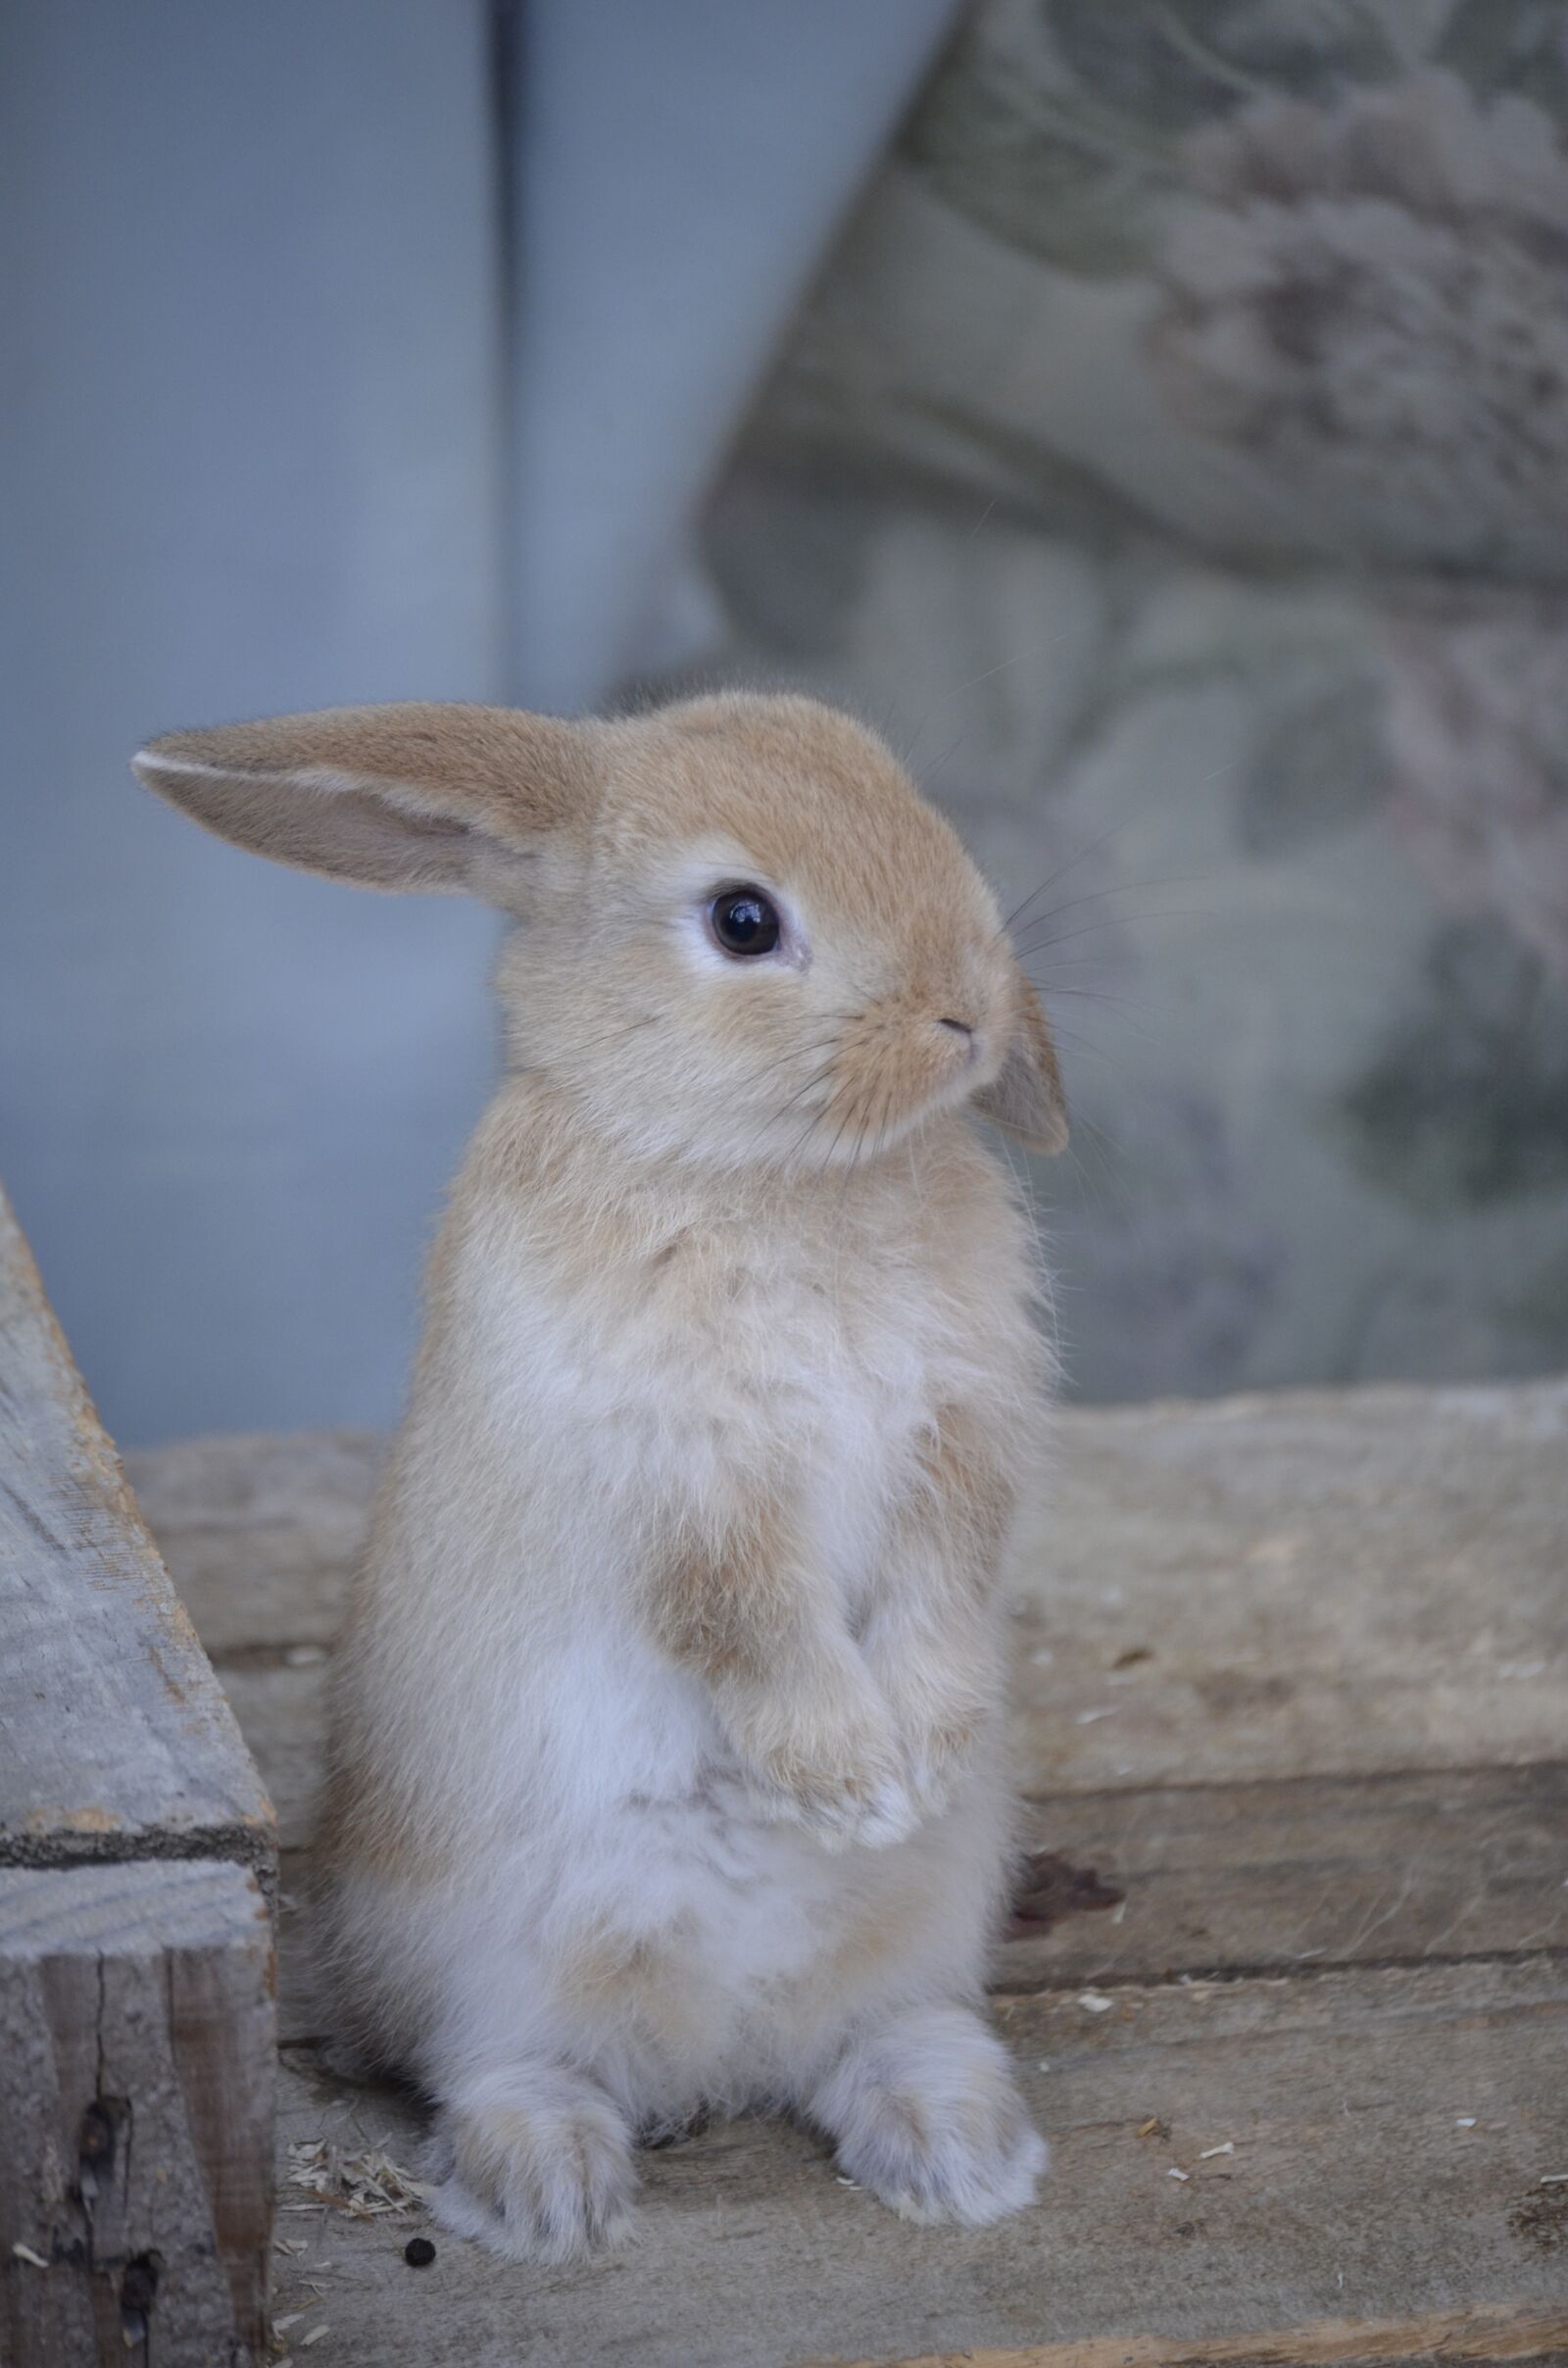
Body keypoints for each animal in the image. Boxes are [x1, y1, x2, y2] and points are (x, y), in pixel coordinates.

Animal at [133, 692, 1069, 2263]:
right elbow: (750, 1618)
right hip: (491, 1956)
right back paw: (553, 2191)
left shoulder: (962, 1440)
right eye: (743, 919)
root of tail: (716, 2052)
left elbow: (941, 1587)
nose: (970, 1014)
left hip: (925, 1934)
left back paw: (959, 2154)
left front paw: (924, 1756)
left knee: (877, 2036)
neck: (763, 1171)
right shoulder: (681, 1484)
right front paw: (851, 1783)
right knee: (506, 2065)